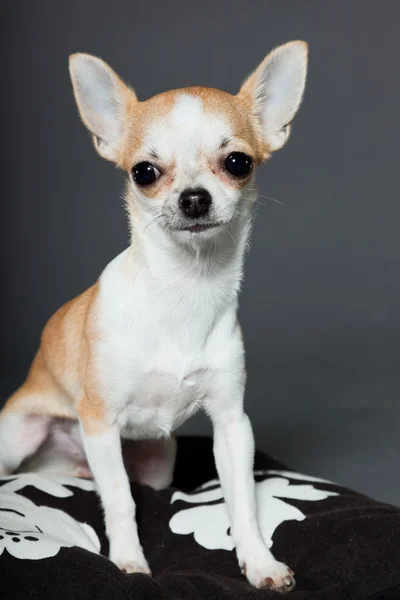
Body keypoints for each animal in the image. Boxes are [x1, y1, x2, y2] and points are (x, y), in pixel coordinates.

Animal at [0, 41, 310, 592]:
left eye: (238, 162)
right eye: (144, 171)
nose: (194, 198)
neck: (185, 290)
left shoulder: (233, 425)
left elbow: (242, 502)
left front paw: (259, 561)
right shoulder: (99, 422)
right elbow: (121, 501)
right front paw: (129, 562)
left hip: (159, 464)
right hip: (20, 437)